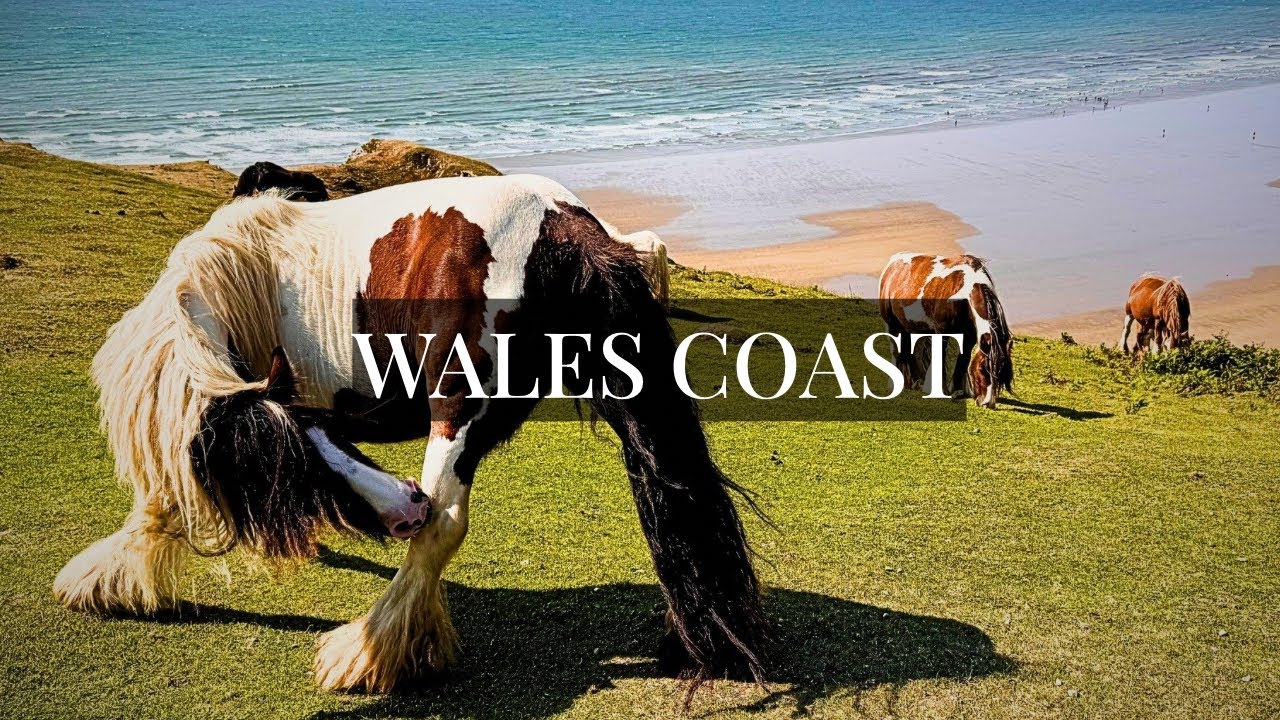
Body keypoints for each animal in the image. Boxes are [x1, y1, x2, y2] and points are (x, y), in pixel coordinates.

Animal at [53, 175, 765, 695]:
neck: (228, 285)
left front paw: (101, 581)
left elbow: (159, 502)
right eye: (302, 457)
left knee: (445, 524)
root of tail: (567, 227)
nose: (402, 506)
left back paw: (370, 653)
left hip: (455, 415)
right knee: (673, 495)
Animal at [878, 253, 1014, 409]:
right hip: (891, 324)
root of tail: (893, 263)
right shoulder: (941, 331)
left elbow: (963, 360)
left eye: (1002, 373)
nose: (987, 403)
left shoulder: (969, 337)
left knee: (916, 353)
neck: (962, 290)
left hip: (917, 328)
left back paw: (918, 382)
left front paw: (958, 389)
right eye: (982, 369)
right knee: (895, 352)